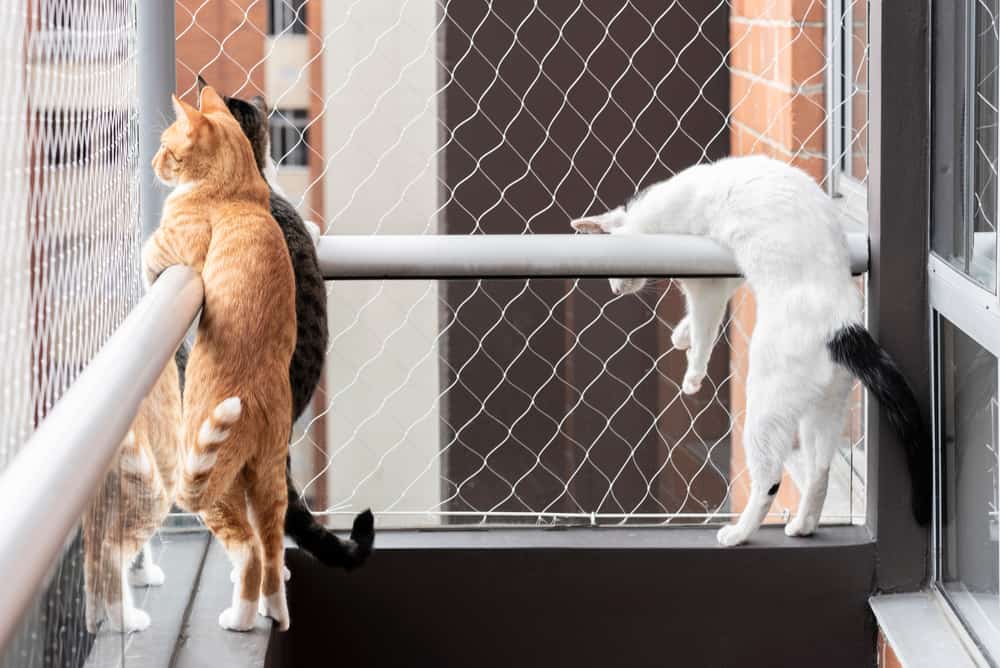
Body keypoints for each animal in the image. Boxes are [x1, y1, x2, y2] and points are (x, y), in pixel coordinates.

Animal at [142, 87, 296, 632]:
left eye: (166, 147)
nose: (152, 162)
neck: (239, 191)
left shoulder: (170, 247)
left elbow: (145, 256)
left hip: (212, 485)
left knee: (248, 551)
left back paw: (241, 618)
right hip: (268, 480)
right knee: (272, 549)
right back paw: (274, 611)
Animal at [572, 154, 928, 544]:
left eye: (613, 268)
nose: (615, 289)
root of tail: (842, 326)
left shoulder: (706, 284)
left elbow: (705, 327)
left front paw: (693, 372)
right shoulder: (726, 276)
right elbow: (703, 316)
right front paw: (681, 335)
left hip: (765, 407)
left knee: (770, 477)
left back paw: (739, 532)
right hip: (823, 411)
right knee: (819, 469)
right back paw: (802, 526)